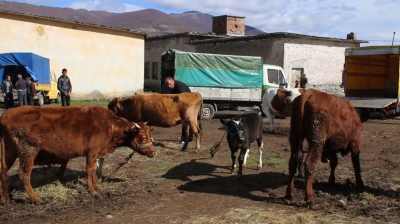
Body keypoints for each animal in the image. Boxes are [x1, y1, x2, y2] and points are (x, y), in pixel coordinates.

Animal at [0, 105, 156, 203]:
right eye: (143, 137)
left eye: (150, 135)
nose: (154, 152)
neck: (109, 125)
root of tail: (6, 115)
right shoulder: (92, 151)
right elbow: (90, 169)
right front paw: (92, 190)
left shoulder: (96, 153)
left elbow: (95, 168)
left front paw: (96, 184)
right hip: (28, 151)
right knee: (23, 174)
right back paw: (36, 198)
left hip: (9, 151)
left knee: (3, 171)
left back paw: (5, 198)